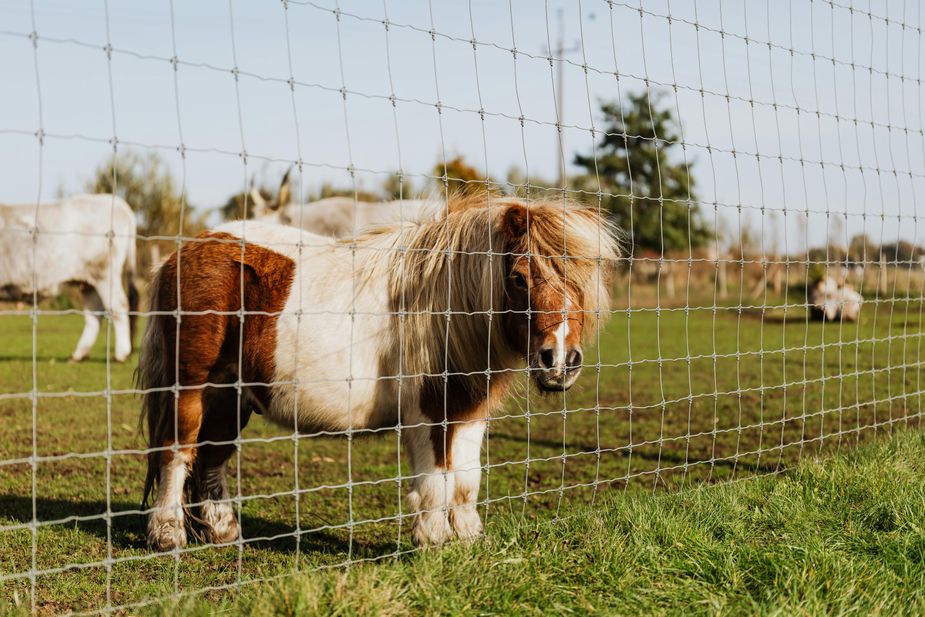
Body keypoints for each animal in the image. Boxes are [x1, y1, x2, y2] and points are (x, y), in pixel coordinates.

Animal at [0, 194, 138, 362]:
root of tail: (117, 202)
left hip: (104, 273)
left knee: (118, 306)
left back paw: (120, 355)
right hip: (88, 282)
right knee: (94, 313)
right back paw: (78, 355)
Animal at [137, 195, 619, 551]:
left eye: (584, 279)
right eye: (519, 278)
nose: (560, 361)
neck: (447, 305)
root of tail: (186, 250)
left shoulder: (469, 409)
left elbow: (465, 479)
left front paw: (466, 538)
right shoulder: (428, 412)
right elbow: (435, 480)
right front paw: (432, 539)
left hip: (228, 394)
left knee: (211, 459)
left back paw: (222, 531)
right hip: (189, 388)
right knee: (176, 452)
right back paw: (167, 535)